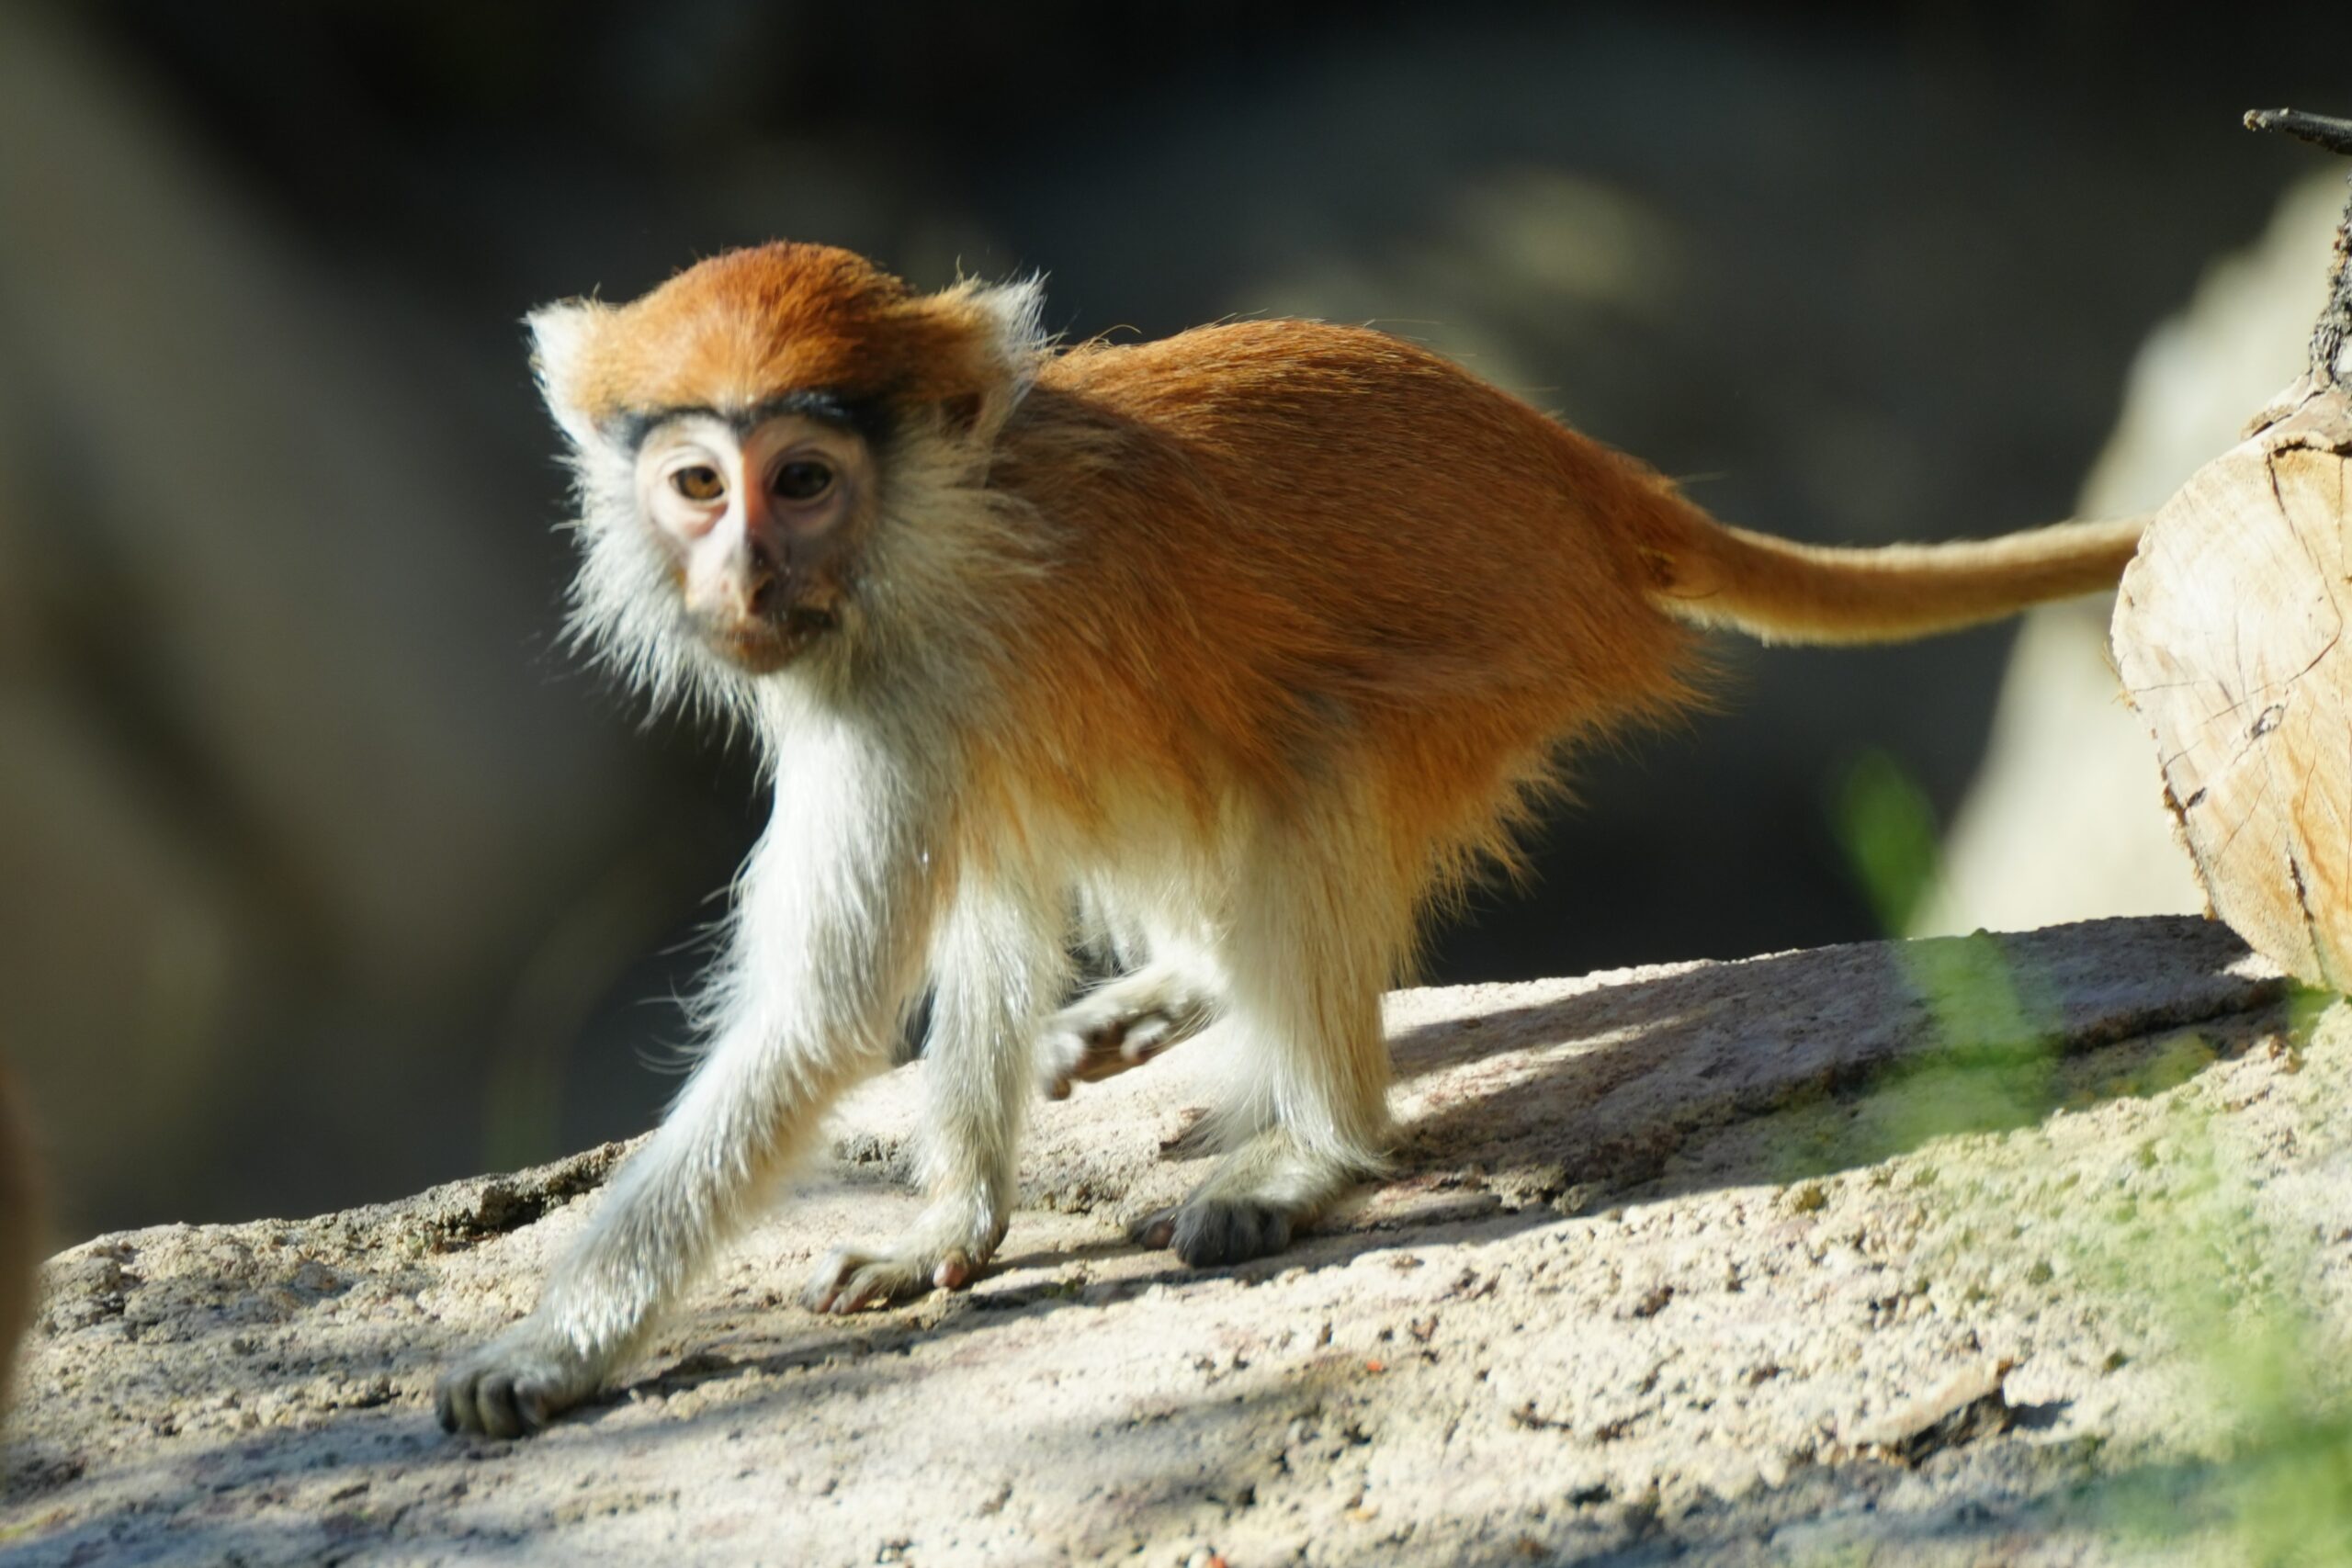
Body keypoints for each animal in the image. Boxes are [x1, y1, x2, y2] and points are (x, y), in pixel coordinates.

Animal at [436, 241, 2142, 1436]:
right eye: (696, 482)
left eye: (800, 479)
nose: (740, 578)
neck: (946, 512)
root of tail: (1585, 479)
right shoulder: (913, 697)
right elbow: (989, 889)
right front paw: (949, 1219)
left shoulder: (902, 687)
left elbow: (817, 1020)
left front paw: (548, 1350)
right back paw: (1186, 993)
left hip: (1513, 654)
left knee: (1316, 760)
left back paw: (1313, 1150)